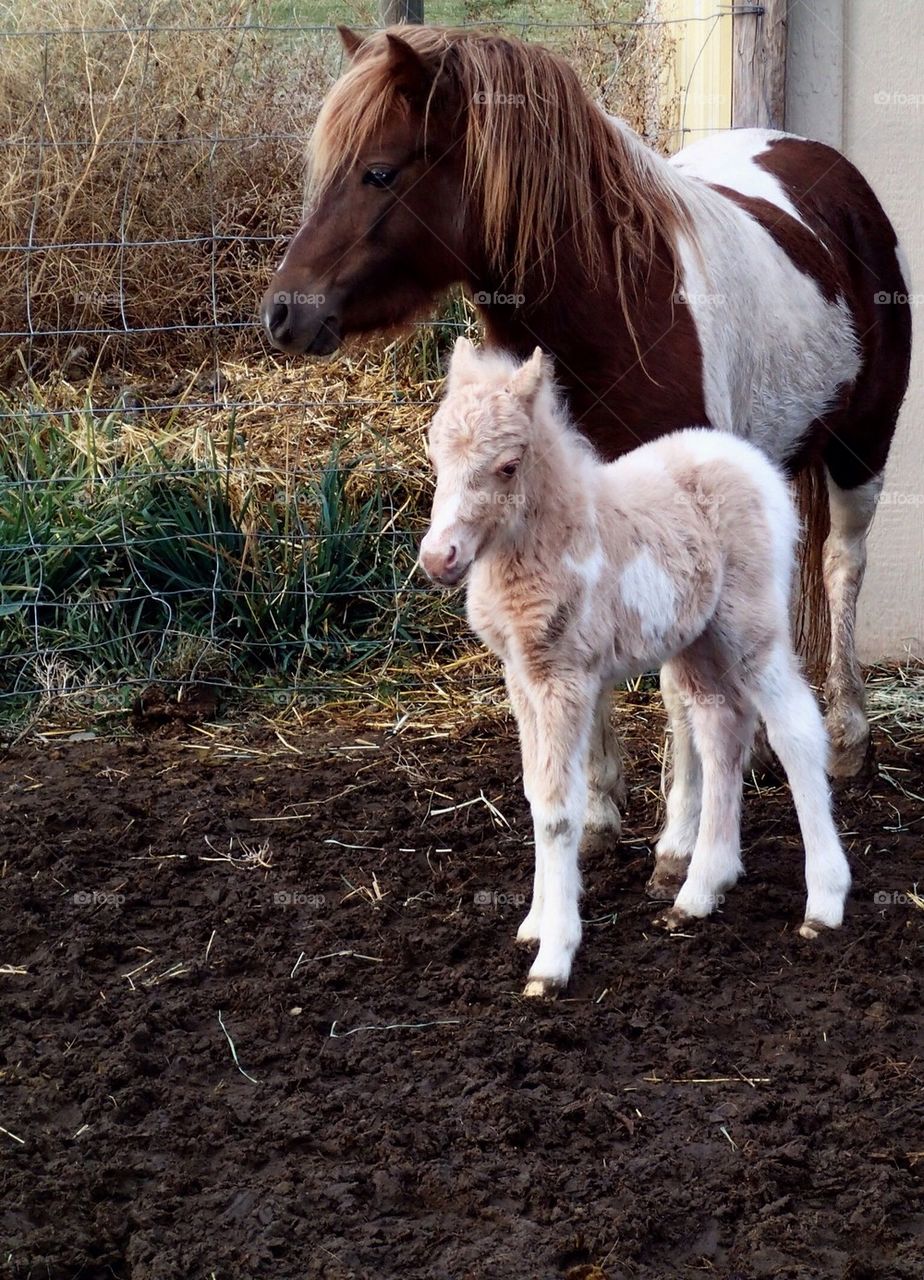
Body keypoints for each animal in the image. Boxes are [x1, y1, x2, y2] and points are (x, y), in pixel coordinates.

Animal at [258, 22, 906, 798]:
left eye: (379, 173)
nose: (282, 313)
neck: (617, 310)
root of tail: (829, 170)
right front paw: (595, 798)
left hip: (862, 445)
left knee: (843, 563)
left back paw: (846, 736)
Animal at [417, 340, 849, 998]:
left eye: (509, 466)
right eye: (435, 452)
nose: (439, 558)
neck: (550, 539)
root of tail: (754, 464)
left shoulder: (565, 679)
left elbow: (559, 809)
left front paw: (553, 958)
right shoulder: (521, 677)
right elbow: (535, 793)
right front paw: (534, 923)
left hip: (751, 626)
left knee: (795, 729)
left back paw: (823, 902)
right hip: (696, 639)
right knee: (722, 726)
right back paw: (700, 890)